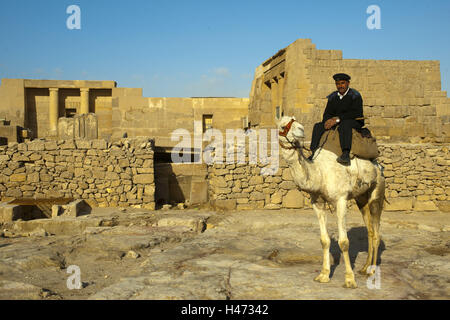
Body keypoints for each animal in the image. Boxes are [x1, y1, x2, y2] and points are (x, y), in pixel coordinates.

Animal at [276, 116, 384, 288]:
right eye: (282, 125)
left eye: (295, 121)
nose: (301, 129)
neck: (319, 173)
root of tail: (378, 164)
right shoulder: (317, 203)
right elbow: (324, 240)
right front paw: (324, 275)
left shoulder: (341, 200)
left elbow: (344, 242)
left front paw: (349, 280)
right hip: (361, 198)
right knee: (370, 231)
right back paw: (364, 268)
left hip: (377, 192)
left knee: (377, 233)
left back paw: (372, 270)